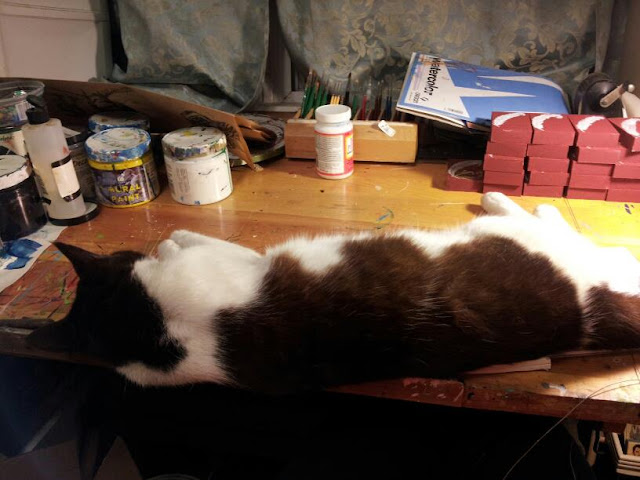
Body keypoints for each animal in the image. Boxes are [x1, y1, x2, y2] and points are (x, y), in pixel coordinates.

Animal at [28, 192, 640, 394]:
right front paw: (169, 242)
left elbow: (188, 238)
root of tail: (591, 311)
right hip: (526, 240)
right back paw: (514, 200)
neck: (149, 324)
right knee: (550, 221)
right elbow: (191, 242)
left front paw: (169, 240)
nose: (144, 254)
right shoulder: (242, 263)